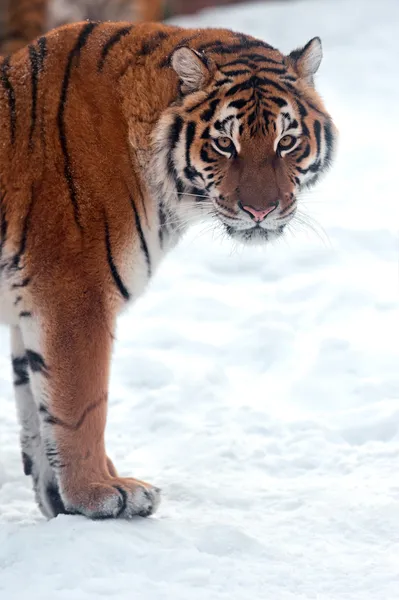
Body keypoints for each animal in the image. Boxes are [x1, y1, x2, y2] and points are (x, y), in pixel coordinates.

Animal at [0, 18, 338, 516]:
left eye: (287, 142)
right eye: (224, 144)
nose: (261, 211)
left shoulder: (29, 308)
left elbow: (38, 414)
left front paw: (62, 502)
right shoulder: (72, 295)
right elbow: (80, 407)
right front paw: (100, 493)